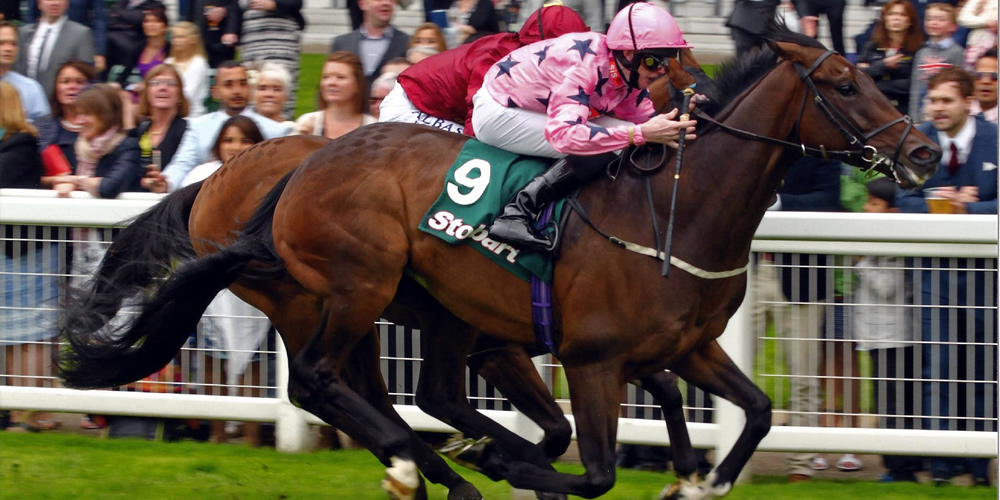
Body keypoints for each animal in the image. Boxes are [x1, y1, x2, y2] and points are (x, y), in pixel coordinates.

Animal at [60, 28, 940, 499]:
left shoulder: (686, 346)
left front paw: (699, 476)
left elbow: (753, 410)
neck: (676, 209)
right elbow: (593, 467)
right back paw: (425, 464)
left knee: (404, 392)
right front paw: (505, 460)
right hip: (349, 288)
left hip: (414, 309)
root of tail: (281, 170)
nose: (925, 150)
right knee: (320, 381)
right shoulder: (592, 357)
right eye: (843, 84)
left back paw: (432, 466)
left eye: (872, 75)